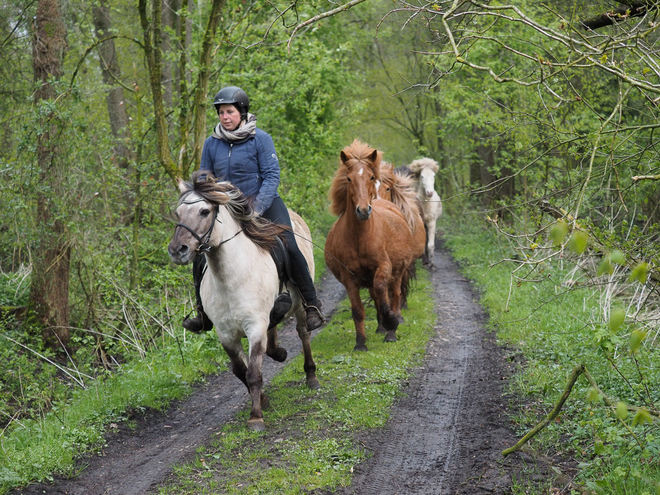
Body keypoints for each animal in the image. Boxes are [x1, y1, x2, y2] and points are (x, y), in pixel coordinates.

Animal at [166, 172, 318, 432]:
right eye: (178, 213)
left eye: (204, 211)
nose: (178, 250)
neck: (230, 279)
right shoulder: (225, 333)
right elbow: (240, 370)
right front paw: (263, 400)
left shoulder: (254, 326)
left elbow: (254, 372)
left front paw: (256, 417)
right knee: (274, 332)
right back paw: (279, 352)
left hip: (300, 306)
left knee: (304, 333)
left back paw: (311, 376)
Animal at [328, 139, 416, 352]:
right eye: (349, 178)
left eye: (370, 177)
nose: (362, 210)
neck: (360, 238)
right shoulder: (349, 277)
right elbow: (358, 310)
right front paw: (360, 343)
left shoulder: (383, 267)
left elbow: (384, 294)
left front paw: (391, 323)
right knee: (377, 296)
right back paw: (381, 327)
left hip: (397, 273)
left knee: (393, 294)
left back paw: (391, 328)